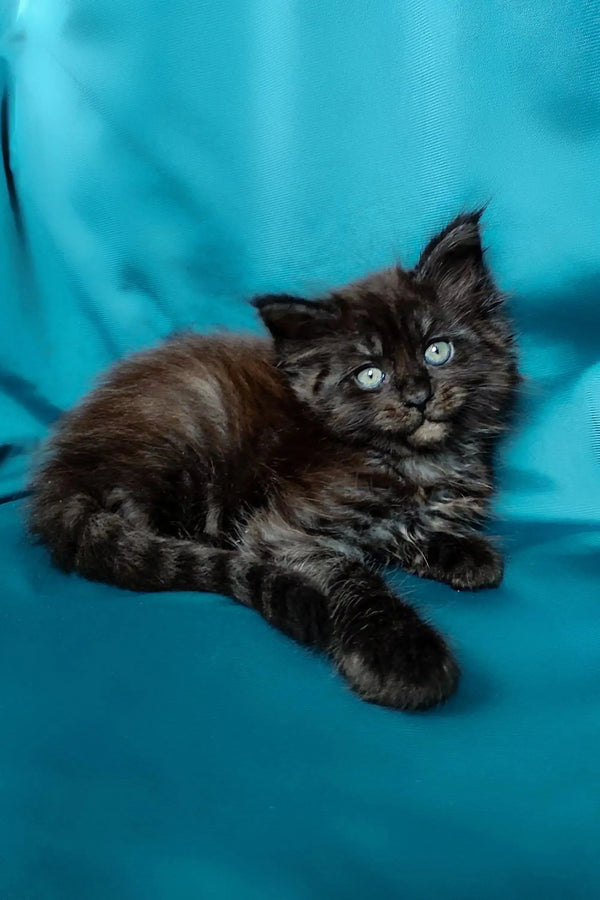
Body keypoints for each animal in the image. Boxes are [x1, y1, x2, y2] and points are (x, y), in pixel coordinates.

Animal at [28, 213, 516, 712]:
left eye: (437, 351)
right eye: (370, 375)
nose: (419, 397)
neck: (417, 461)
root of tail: (63, 469)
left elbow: (408, 530)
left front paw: (460, 550)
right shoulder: (281, 531)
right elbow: (353, 575)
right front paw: (402, 653)